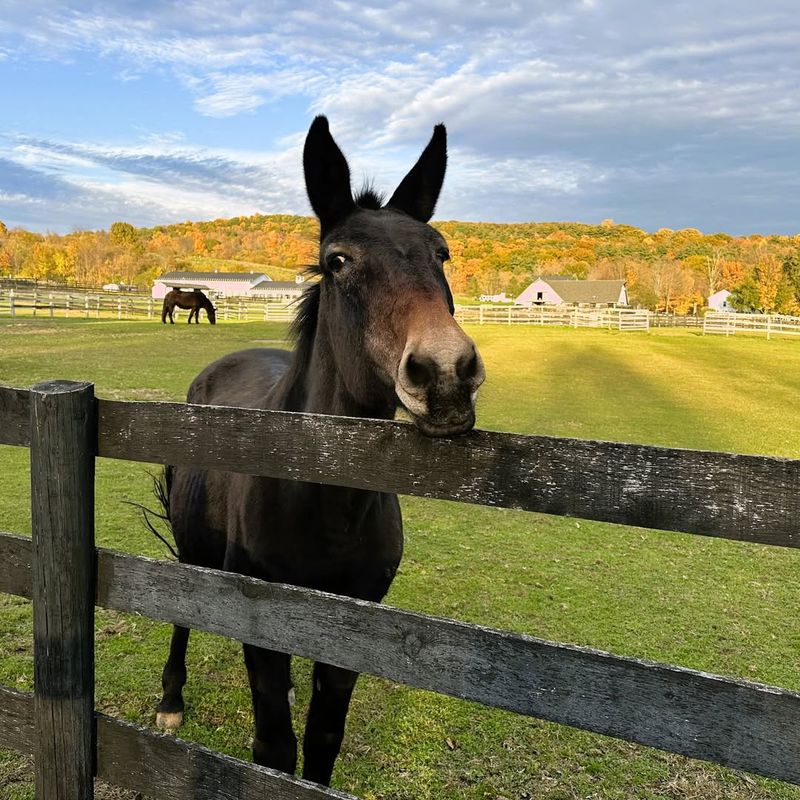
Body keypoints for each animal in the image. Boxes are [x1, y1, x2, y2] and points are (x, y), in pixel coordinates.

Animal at [154, 115, 484, 784]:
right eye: (339, 260)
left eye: (441, 253)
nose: (447, 374)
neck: (320, 498)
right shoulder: (260, 620)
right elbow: (275, 749)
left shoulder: (353, 629)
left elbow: (322, 743)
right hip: (191, 549)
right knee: (183, 614)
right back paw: (171, 700)